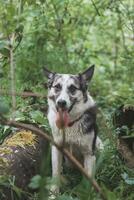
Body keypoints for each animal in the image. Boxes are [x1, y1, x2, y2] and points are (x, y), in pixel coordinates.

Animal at [44, 65, 103, 194]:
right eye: (57, 87)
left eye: (72, 88)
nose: (61, 103)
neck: (69, 124)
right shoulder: (56, 148)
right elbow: (55, 173)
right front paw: (53, 194)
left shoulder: (89, 155)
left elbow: (88, 181)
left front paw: (88, 194)